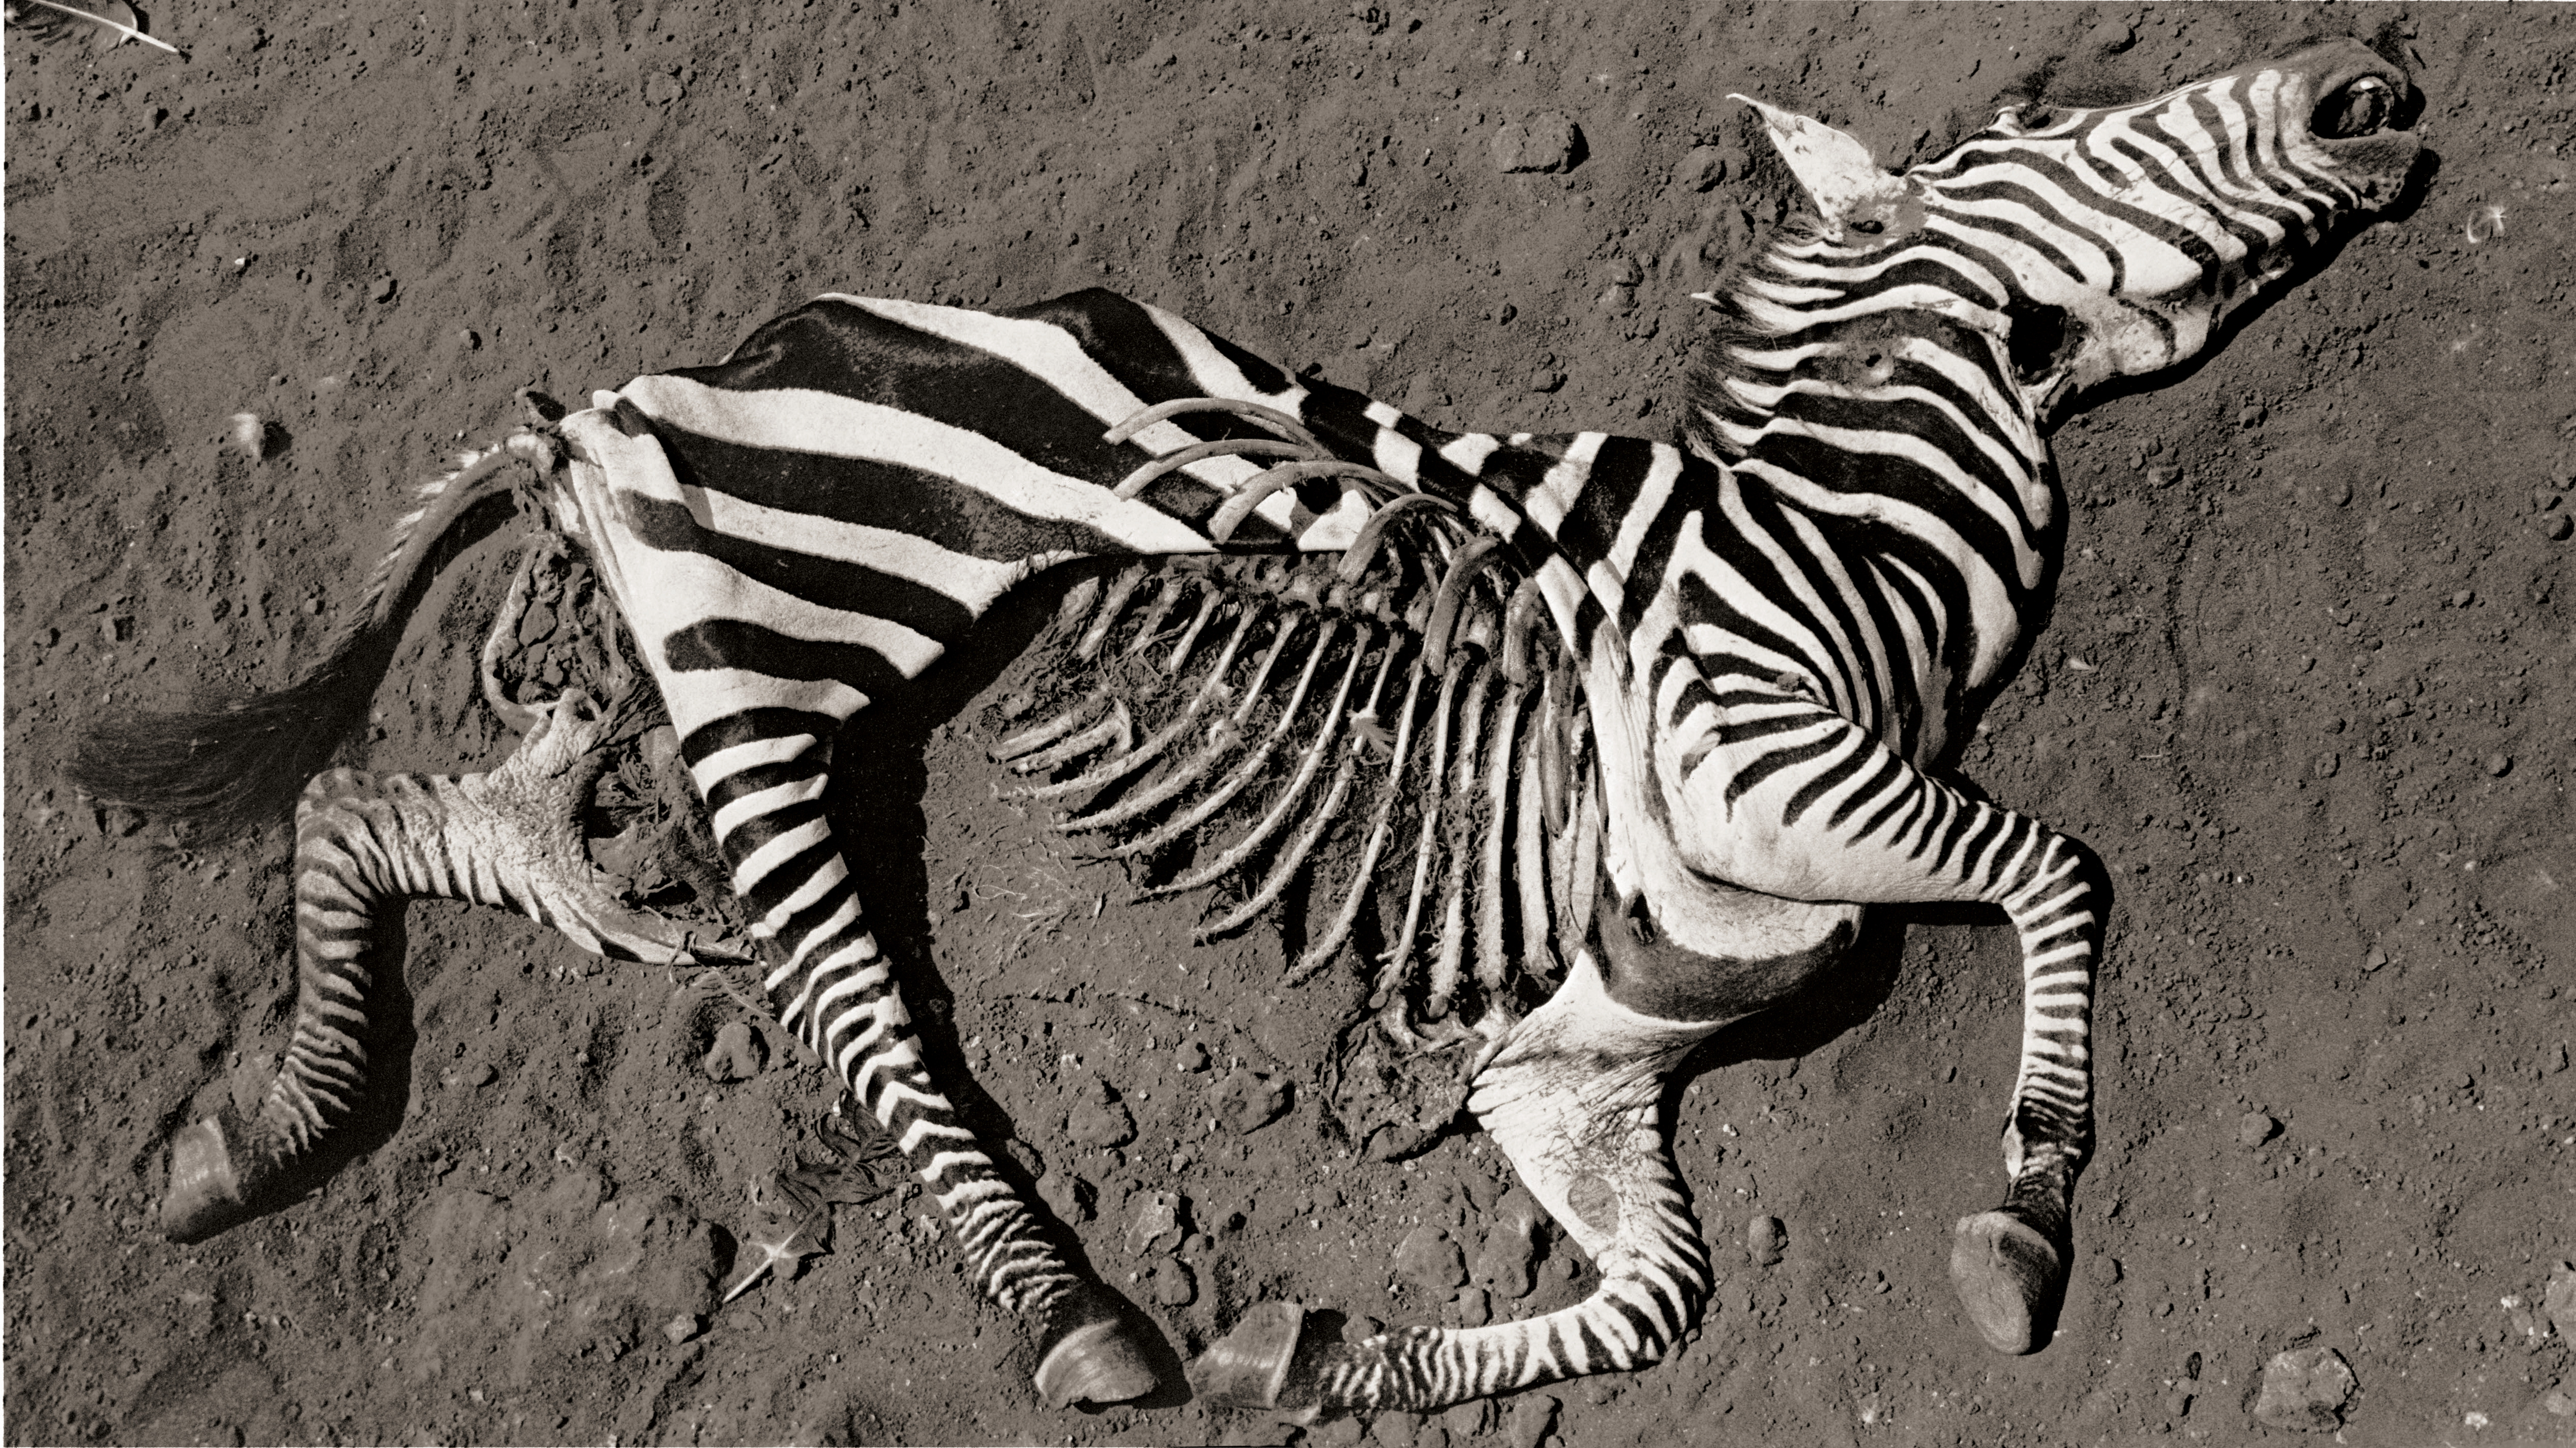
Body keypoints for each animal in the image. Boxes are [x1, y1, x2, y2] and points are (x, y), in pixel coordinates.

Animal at [70, 37, 2419, 1420]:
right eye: (2048, 120)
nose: (2378, 79)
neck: (1845, 533)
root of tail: (660, 382)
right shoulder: (1763, 766)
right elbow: (2056, 867)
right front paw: (2023, 1220)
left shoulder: (1578, 1049)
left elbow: (1656, 1289)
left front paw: (1329, 1345)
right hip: (786, 635)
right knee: (843, 991)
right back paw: (1076, 1319)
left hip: (650, 699)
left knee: (408, 814)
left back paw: (257, 1124)